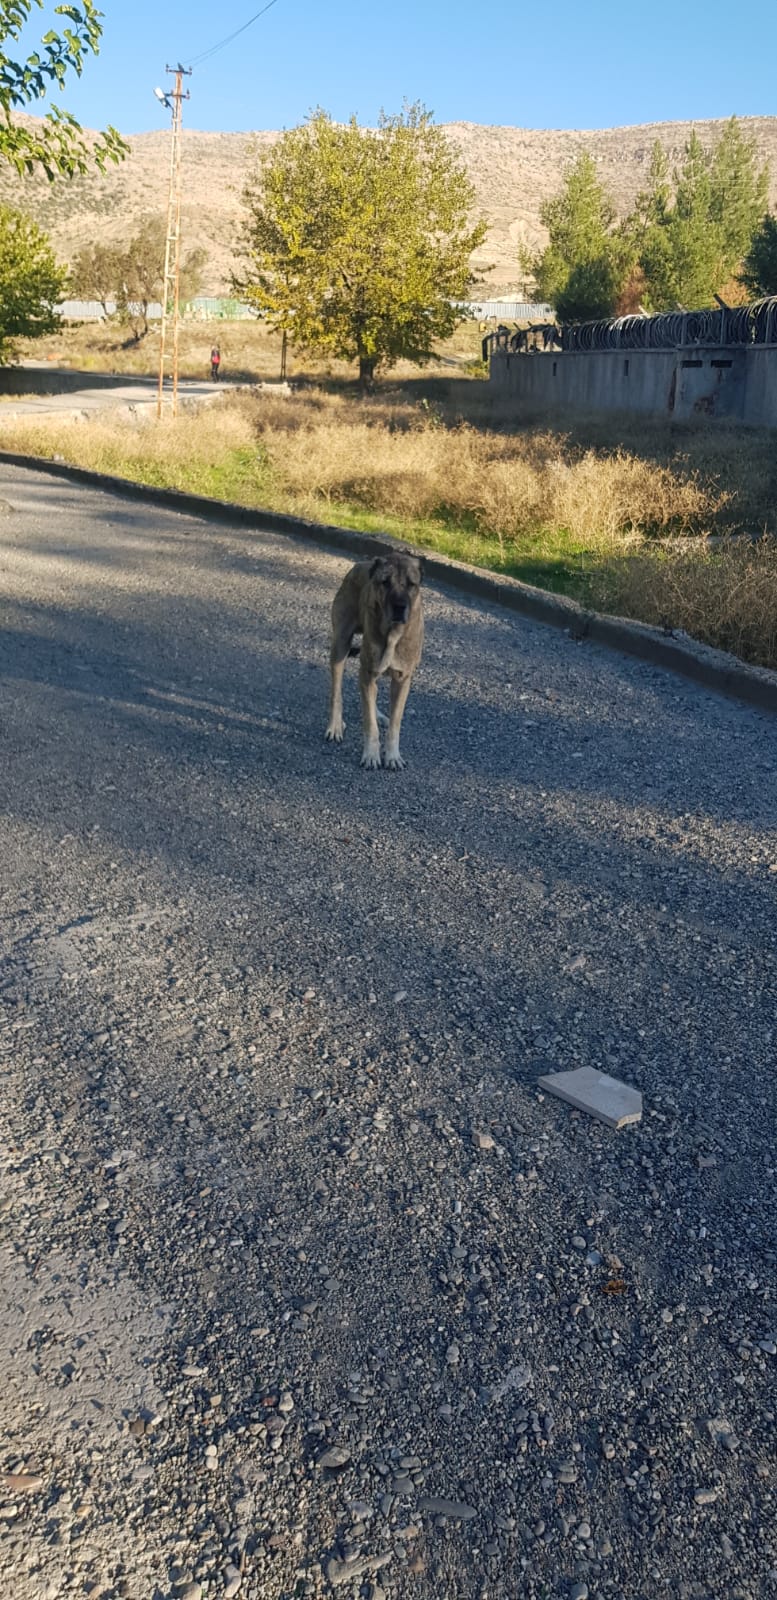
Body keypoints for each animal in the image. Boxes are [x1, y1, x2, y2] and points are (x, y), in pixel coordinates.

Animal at [326, 553, 428, 771]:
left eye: (411, 584)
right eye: (385, 582)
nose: (399, 607)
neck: (392, 632)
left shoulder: (402, 679)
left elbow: (395, 724)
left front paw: (392, 756)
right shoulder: (367, 672)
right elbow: (369, 723)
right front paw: (371, 755)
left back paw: (379, 714)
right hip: (340, 645)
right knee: (336, 692)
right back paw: (335, 725)